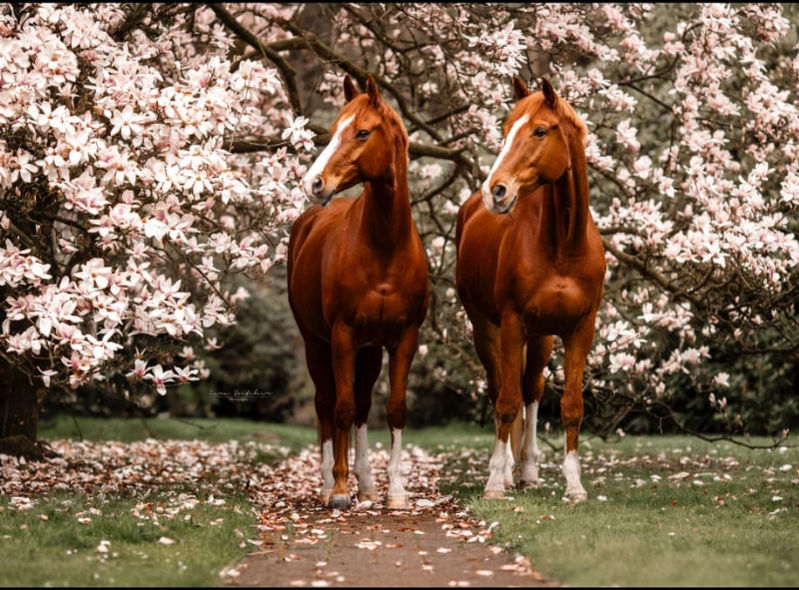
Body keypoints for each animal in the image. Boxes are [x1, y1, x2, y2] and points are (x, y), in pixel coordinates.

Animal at [287, 74, 429, 510]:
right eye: (334, 130)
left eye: (363, 132)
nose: (313, 183)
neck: (384, 248)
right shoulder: (342, 336)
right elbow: (342, 408)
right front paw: (338, 489)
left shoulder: (403, 339)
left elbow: (393, 410)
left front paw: (395, 492)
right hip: (315, 343)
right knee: (326, 403)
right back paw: (327, 484)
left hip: (369, 350)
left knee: (364, 406)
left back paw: (366, 483)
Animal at [455, 77, 605, 501]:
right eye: (505, 130)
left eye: (540, 131)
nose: (496, 191)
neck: (563, 245)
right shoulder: (511, 324)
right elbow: (506, 403)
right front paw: (494, 483)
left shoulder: (579, 330)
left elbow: (570, 406)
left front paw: (574, 485)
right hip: (487, 329)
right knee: (501, 390)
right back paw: (506, 472)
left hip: (541, 337)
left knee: (532, 389)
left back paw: (528, 470)